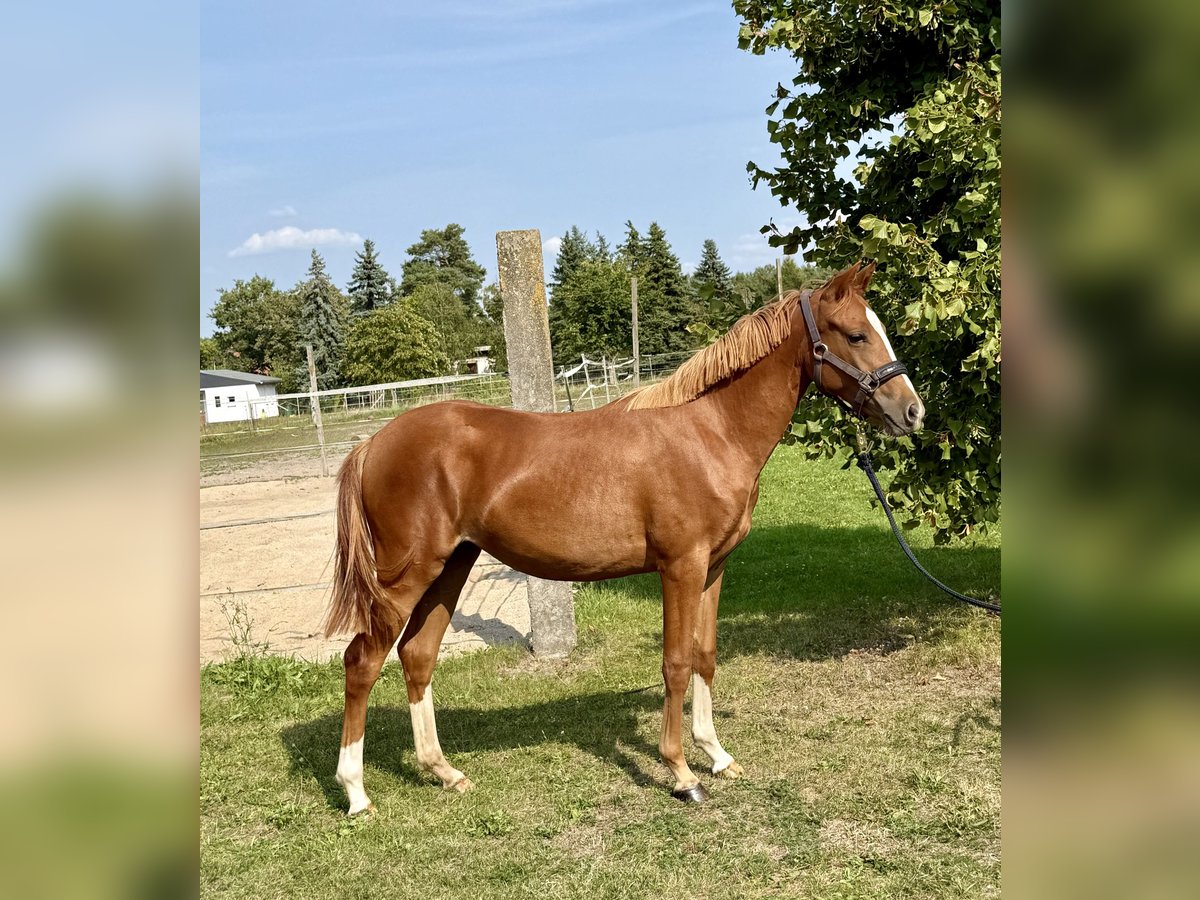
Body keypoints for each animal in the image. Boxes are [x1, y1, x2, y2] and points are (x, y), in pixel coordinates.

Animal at [323, 261, 924, 814]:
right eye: (856, 334)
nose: (912, 411)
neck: (710, 431)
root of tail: (373, 444)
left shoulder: (714, 567)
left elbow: (705, 655)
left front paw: (717, 754)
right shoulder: (680, 566)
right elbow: (675, 662)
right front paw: (682, 772)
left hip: (453, 565)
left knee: (417, 655)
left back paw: (444, 771)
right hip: (408, 575)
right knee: (362, 661)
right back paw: (355, 792)